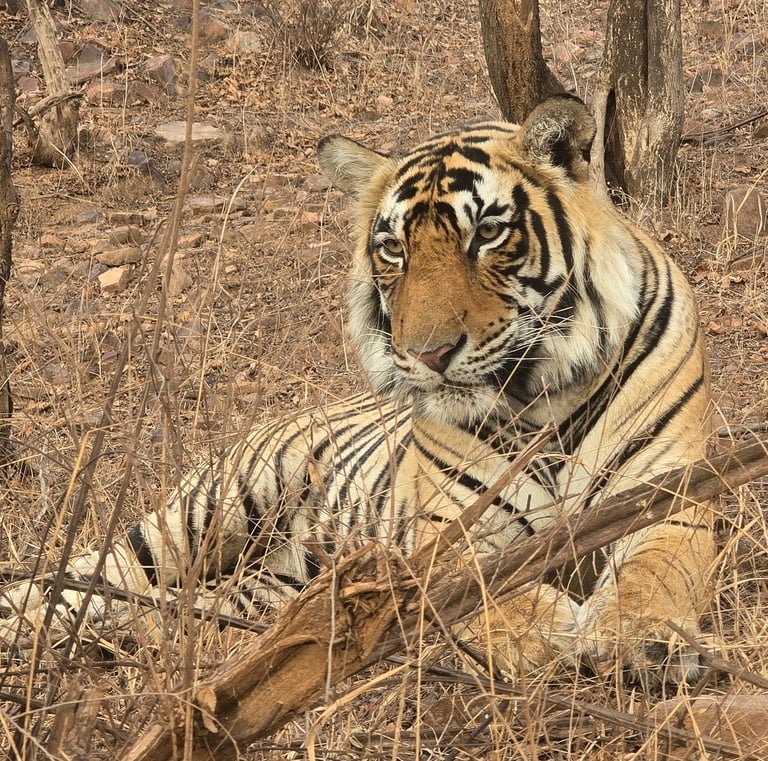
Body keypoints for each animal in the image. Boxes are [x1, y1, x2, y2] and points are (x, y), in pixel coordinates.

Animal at [0, 95, 714, 684]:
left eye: (487, 232)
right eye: (393, 248)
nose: (427, 354)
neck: (540, 394)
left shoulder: (674, 495)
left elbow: (656, 575)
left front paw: (642, 641)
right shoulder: (446, 530)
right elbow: (489, 586)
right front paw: (549, 634)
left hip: (262, 588)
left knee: (170, 610)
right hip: (201, 515)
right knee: (84, 578)